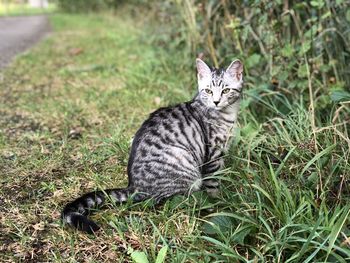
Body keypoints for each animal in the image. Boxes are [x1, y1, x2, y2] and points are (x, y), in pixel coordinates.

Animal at [61, 58, 242, 234]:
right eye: (208, 91)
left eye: (226, 90)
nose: (216, 101)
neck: (225, 114)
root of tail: (134, 186)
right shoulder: (212, 154)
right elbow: (213, 183)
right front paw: (218, 204)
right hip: (185, 168)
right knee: (168, 199)